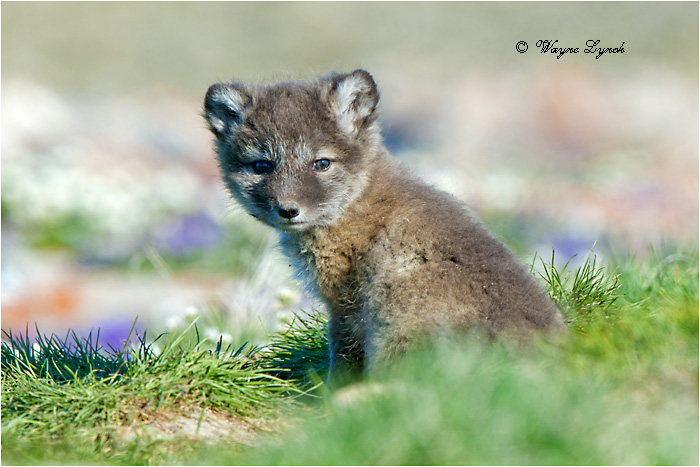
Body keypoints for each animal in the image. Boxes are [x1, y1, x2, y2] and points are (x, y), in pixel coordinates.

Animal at [204, 69, 566, 382]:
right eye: (261, 166)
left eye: (321, 163)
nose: (288, 210)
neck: (356, 203)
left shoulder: (345, 303)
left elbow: (343, 353)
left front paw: (331, 392)